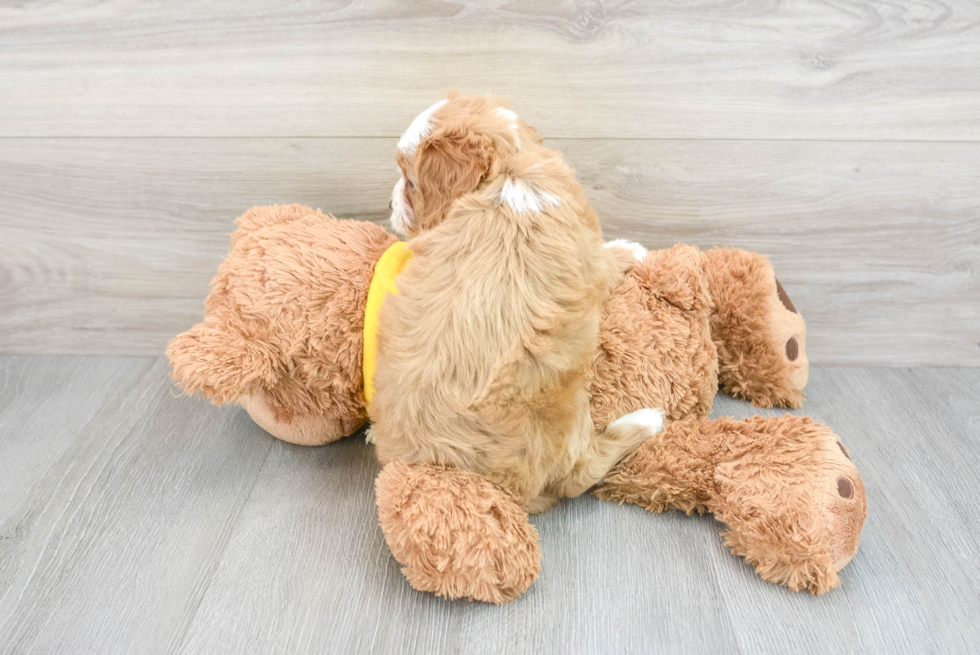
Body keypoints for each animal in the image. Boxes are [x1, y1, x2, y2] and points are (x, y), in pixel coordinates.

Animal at [372, 92, 664, 516]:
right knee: (582, 472)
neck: (509, 173)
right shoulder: (590, 256)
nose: (390, 205)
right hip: (568, 411)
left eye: (410, 182)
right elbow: (609, 261)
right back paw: (644, 421)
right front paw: (632, 249)